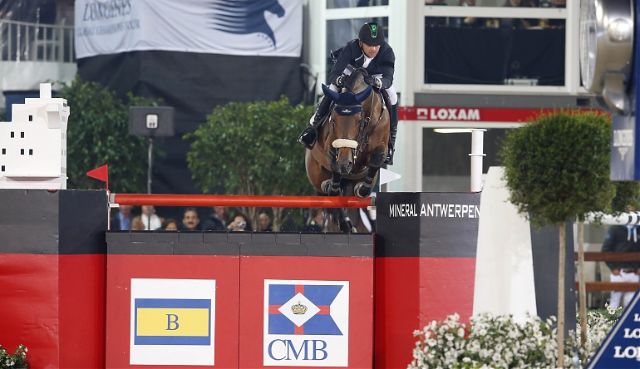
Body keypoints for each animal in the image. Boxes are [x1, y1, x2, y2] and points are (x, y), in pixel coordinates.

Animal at [304, 66, 390, 230]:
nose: (345, 164)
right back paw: (344, 222)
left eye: (358, 121)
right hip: (316, 174)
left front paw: (361, 190)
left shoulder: (380, 146)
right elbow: (334, 171)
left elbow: (375, 161)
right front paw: (332, 185)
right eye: (333, 120)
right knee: (329, 197)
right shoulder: (332, 145)